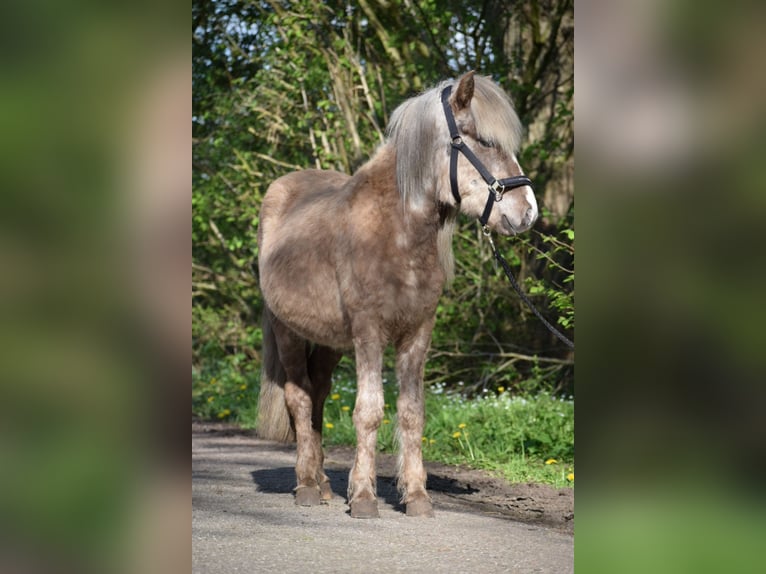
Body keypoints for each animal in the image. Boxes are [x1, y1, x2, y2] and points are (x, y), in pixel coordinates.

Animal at [258, 70, 540, 520]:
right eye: (482, 140)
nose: (527, 212)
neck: (396, 231)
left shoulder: (417, 333)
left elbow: (412, 414)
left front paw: (417, 496)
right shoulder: (369, 332)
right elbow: (369, 412)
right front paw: (363, 497)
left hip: (330, 343)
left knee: (317, 396)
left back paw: (323, 484)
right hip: (288, 332)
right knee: (299, 399)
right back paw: (306, 486)